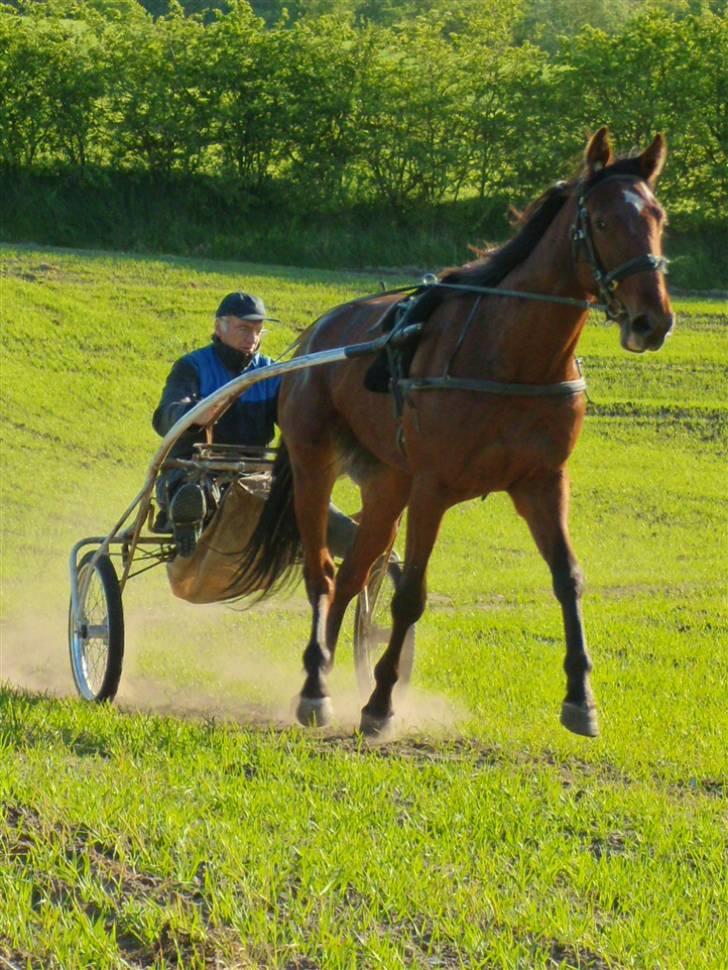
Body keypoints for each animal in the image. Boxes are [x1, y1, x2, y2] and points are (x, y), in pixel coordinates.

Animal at [236, 126, 672, 732]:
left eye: (659, 217)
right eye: (604, 222)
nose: (652, 320)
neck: (512, 356)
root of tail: (317, 335)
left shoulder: (542, 482)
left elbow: (568, 577)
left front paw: (580, 699)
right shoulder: (433, 487)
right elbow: (411, 596)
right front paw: (380, 702)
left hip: (387, 484)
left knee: (352, 575)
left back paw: (322, 673)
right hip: (313, 462)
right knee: (321, 572)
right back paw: (314, 687)